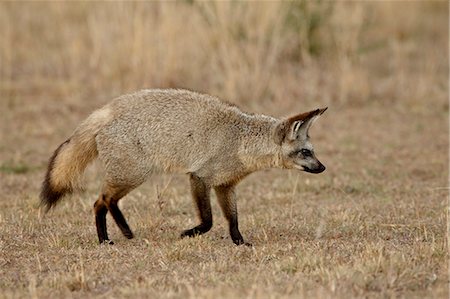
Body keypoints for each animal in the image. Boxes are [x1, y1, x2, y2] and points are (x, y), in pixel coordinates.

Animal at [40, 89, 326, 246]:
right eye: (306, 152)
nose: (323, 168)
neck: (240, 140)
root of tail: (109, 109)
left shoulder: (225, 185)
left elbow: (232, 219)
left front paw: (239, 242)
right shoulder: (199, 178)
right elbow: (208, 221)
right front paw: (190, 233)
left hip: (128, 177)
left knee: (103, 202)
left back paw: (114, 236)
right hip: (133, 176)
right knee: (102, 201)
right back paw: (115, 236)